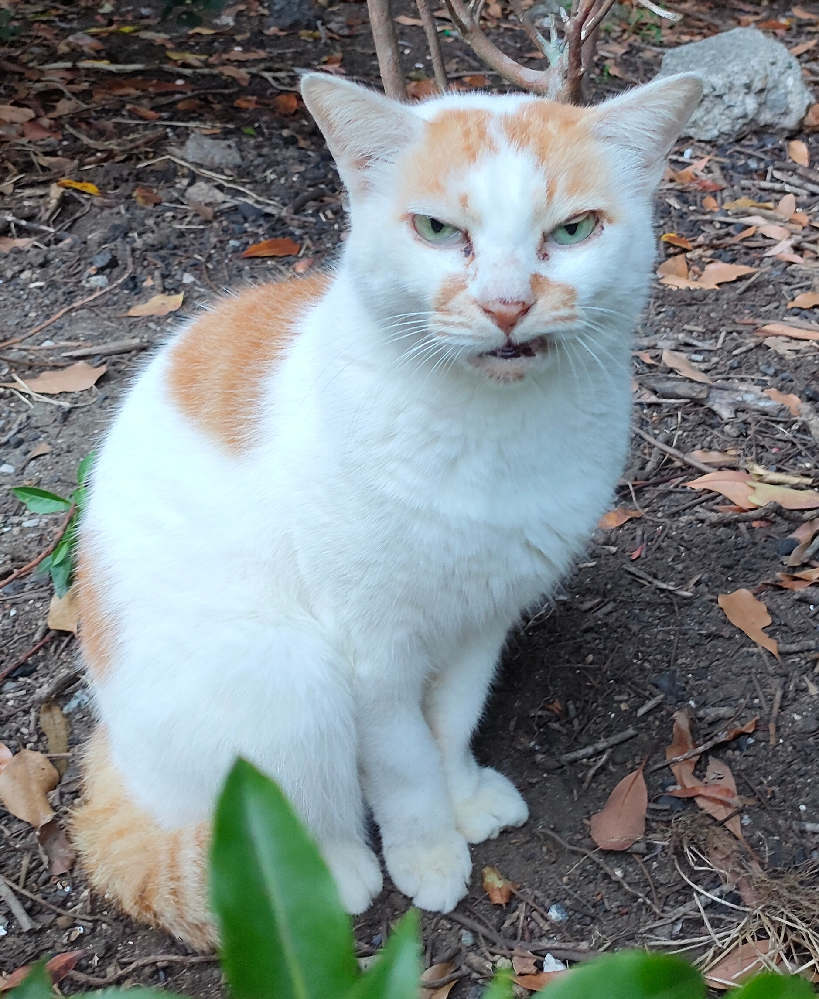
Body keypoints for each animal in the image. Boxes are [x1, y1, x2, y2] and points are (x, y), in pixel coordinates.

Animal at [70, 68, 700, 944]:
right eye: (437, 230)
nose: (506, 303)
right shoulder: (370, 650)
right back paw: (333, 871)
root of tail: (114, 763)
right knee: (280, 815)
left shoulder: (482, 617)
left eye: (573, 230)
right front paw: (428, 849)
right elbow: (402, 767)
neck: (490, 432)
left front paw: (461, 796)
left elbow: (452, 722)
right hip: (290, 675)